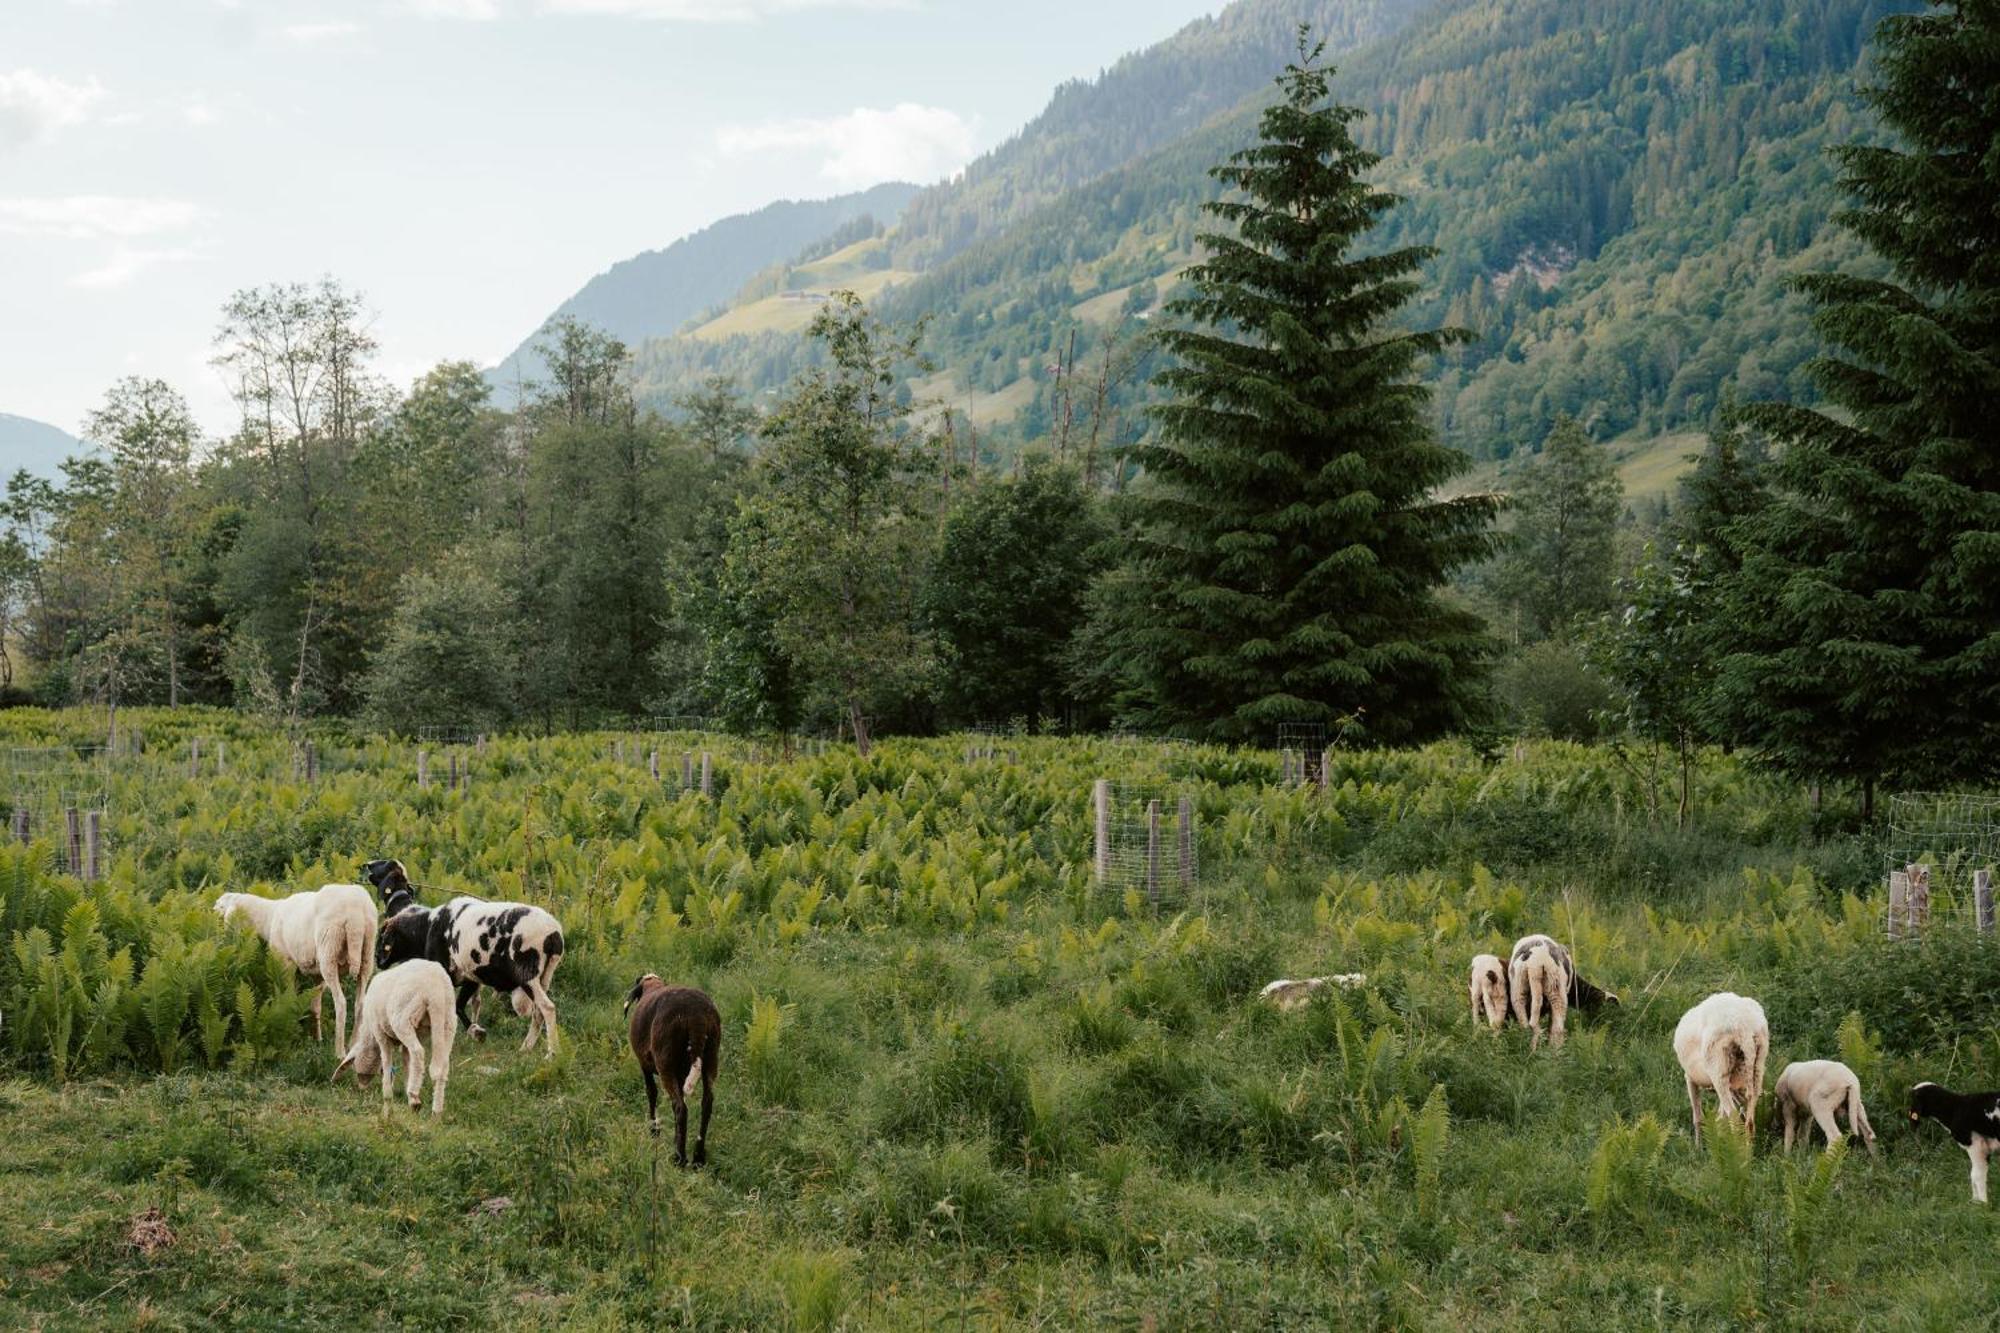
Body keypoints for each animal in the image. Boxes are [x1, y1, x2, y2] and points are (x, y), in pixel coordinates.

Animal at [215, 880, 378, 1056]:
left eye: (221, 905)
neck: (268, 917)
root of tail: (356, 916)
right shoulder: (317, 975)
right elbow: (315, 1006)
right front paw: (317, 1039)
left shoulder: (285, 962)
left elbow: (290, 998)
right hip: (366, 957)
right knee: (360, 1003)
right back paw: (354, 1046)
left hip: (329, 953)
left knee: (341, 1003)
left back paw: (339, 1051)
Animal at [332, 956, 458, 1112]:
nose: (362, 1088)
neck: (369, 1035)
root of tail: (435, 990)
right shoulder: (405, 1043)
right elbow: (406, 1061)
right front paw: (406, 1088)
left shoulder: (380, 1033)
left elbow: (386, 1061)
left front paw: (387, 1093)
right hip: (448, 1021)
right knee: (441, 1066)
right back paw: (436, 1109)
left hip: (404, 1017)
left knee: (418, 1052)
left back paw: (415, 1096)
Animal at [624, 964, 728, 1160]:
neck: (652, 986)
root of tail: (696, 1015)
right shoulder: (681, 1074)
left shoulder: (644, 1064)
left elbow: (651, 1092)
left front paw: (654, 1130)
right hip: (711, 1057)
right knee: (706, 1103)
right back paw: (698, 1156)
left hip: (665, 1063)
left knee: (680, 1107)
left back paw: (679, 1157)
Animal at [1664, 984, 1776, 1144]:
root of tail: (1744, 1028)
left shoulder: (1689, 1078)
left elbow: (1698, 1117)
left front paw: (1698, 1146)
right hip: (1758, 1065)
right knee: (1749, 1119)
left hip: (1718, 1070)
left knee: (1733, 1117)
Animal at [1904, 1072, 2000, 1200]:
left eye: (1913, 1098)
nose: (1911, 1115)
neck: (1953, 1109)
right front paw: (1975, 1200)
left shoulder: (1975, 1145)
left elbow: (1976, 1175)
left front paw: (1981, 1202)